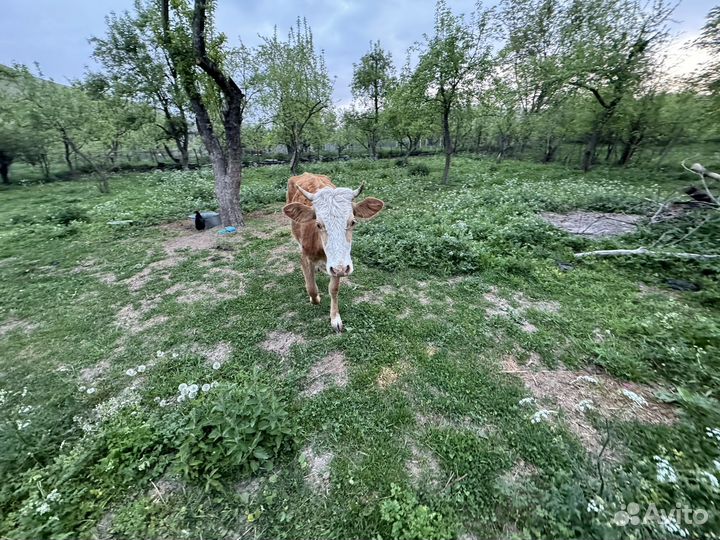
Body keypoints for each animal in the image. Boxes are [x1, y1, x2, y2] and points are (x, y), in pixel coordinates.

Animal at [283, 172, 384, 332]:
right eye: (318, 224)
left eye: (353, 222)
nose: (341, 269)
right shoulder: (306, 257)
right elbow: (311, 287)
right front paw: (316, 298)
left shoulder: (338, 264)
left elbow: (334, 289)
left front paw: (335, 318)